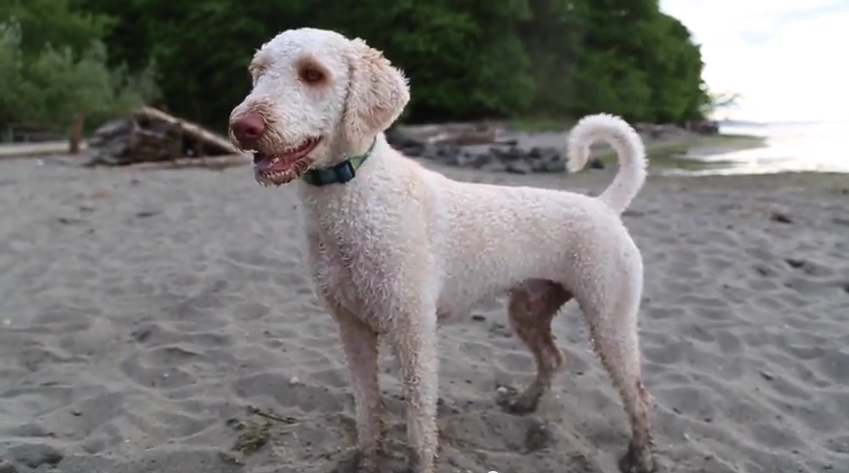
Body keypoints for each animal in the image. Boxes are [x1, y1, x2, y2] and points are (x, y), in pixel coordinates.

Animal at [230, 27, 656, 472]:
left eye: (313, 74)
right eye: (258, 71)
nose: (241, 127)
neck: (357, 194)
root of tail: (605, 205)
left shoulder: (414, 332)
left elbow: (420, 427)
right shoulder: (352, 328)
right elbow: (367, 409)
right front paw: (365, 460)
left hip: (610, 321)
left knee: (639, 395)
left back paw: (640, 455)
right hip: (529, 309)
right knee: (553, 359)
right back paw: (524, 403)